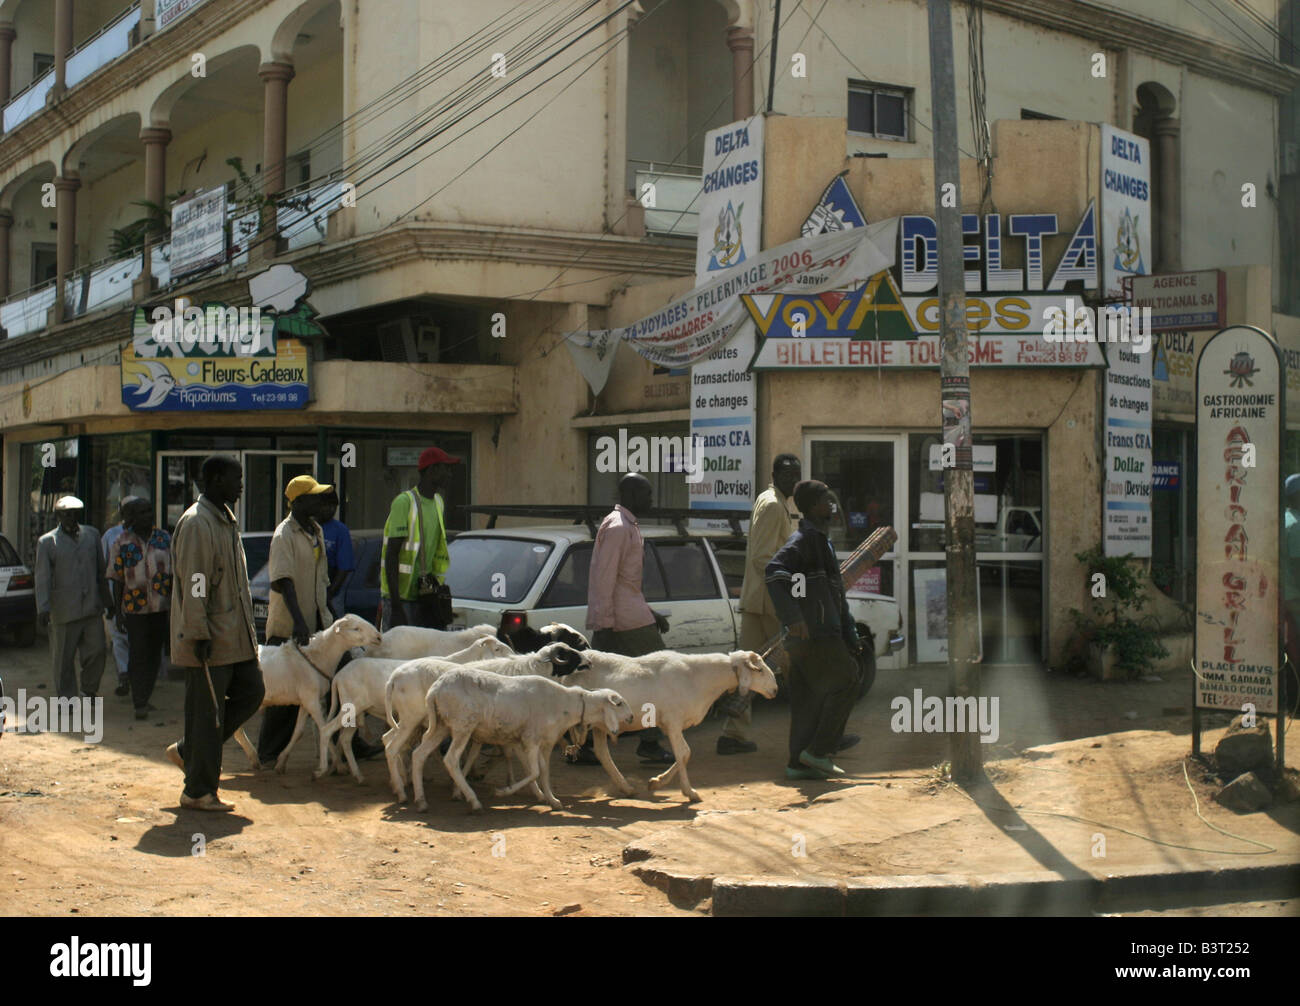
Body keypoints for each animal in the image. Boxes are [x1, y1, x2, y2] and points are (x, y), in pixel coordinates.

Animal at [232, 613, 382, 774]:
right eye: (356, 628)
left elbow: (299, 732)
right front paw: (339, 765)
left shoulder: (306, 701)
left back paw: (254, 759)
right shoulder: (311, 700)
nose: (379, 637)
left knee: (237, 729)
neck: (317, 657)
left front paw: (281, 761)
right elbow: (323, 728)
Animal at [314, 639, 512, 790]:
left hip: (356, 713)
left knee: (345, 739)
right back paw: (323, 769)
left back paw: (356, 775)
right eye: (497, 649)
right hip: (353, 708)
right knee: (326, 730)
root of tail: (339, 675)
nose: (513, 655)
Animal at [379, 647, 590, 805]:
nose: (589, 661)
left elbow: (492, 755)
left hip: (413, 723)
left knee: (390, 741)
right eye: (568, 653)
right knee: (394, 748)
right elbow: (519, 761)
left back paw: (400, 783)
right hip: (412, 719)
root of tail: (394, 677)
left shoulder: (491, 733)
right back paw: (402, 790)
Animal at [405, 675, 629, 816]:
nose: (632, 717)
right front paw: (503, 791)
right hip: (463, 725)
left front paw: (552, 800)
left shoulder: (545, 743)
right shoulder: (531, 739)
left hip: (442, 725)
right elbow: (535, 772)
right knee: (450, 759)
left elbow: (544, 773)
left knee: (418, 754)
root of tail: (435, 689)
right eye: (619, 703)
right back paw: (474, 802)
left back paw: (421, 801)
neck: (567, 704)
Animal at [564, 655, 774, 805]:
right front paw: (689, 792)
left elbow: (686, 753)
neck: (698, 676)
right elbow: (682, 753)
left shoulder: (673, 724)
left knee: (602, 753)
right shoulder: (673, 722)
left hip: (600, 724)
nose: (776, 689)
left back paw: (626, 787)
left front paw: (657, 782)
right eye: (760, 670)